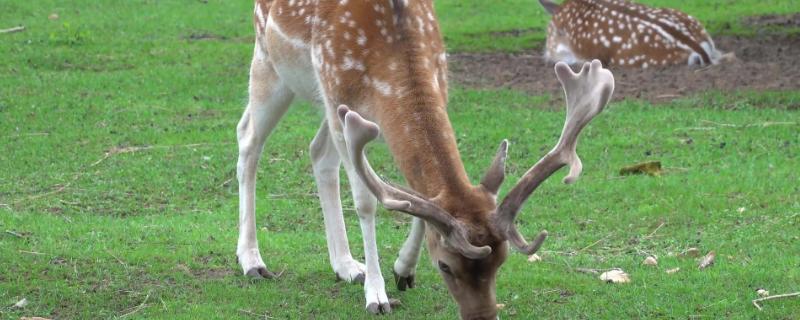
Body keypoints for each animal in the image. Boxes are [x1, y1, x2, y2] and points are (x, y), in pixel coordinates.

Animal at [234, 0, 616, 318]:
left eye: (501, 262)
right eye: (445, 265)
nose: (483, 315)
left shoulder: (431, 83)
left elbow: (420, 196)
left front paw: (403, 270)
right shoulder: (340, 100)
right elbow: (367, 202)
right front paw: (377, 296)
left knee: (318, 153)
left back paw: (346, 265)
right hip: (271, 63)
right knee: (248, 138)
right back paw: (252, 260)